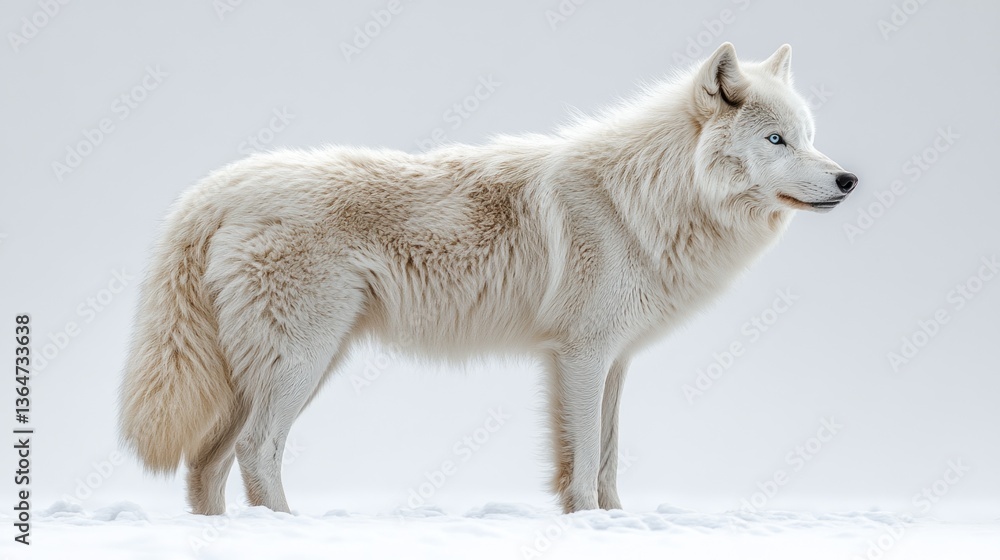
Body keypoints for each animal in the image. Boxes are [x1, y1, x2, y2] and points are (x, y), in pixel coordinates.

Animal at [119, 43, 857, 515]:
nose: (848, 179)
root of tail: (215, 188)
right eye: (776, 141)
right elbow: (584, 461)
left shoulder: (613, 360)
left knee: (206, 463)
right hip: (301, 361)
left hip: (281, 367)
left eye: (808, 135)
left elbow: (609, 458)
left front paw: (617, 524)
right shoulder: (581, 354)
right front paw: (587, 523)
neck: (644, 199)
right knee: (255, 450)